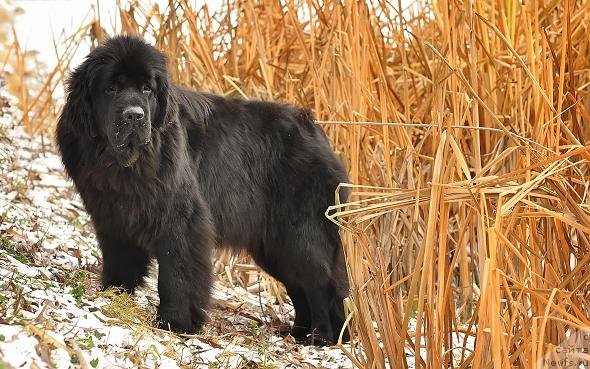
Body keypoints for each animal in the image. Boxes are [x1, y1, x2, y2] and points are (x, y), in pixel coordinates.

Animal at [55, 35, 350, 344]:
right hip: (273, 246)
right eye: (111, 88)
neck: (124, 165)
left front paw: (175, 322)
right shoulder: (112, 217)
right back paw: (299, 333)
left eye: (147, 89)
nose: (134, 116)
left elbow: (177, 273)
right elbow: (119, 261)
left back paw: (323, 338)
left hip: (301, 236)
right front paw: (114, 296)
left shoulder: (182, 220)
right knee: (300, 286)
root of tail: (317, 132)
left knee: (321, 284)